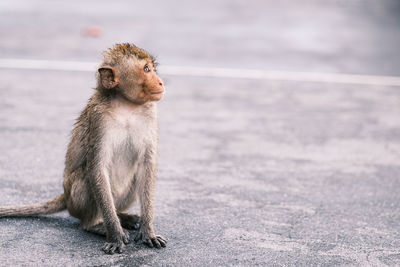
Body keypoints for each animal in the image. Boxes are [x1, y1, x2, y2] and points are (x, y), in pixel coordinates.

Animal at [0, 43, 166, 255]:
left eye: (151, 68)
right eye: (146, 69)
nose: (160, 82)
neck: (126, 106)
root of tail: (66, 196)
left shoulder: (150, 113)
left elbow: (147, 165)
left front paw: (148, 230)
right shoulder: (99, 120)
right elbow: (97, 168)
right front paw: (115, 234)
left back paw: (122, 216)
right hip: (76, 199)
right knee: (85, 179)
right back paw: (96, 224)